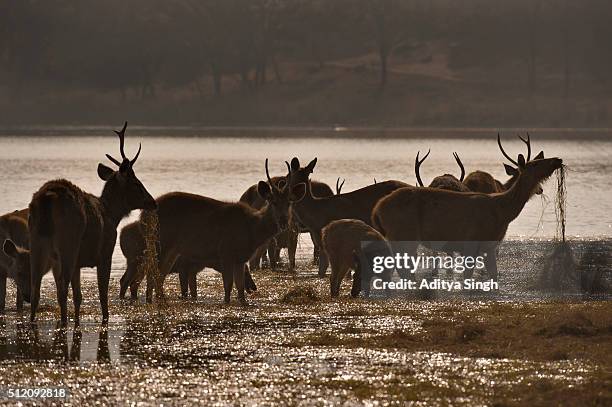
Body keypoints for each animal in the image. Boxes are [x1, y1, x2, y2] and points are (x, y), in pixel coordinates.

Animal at [11, 121, 155, 326]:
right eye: (136, 183)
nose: (153, 202)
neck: (111, 214)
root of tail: (48, 197)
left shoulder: (79, 262)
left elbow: (78, 296)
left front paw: (78, 321)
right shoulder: (105, 252)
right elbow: (102, 294)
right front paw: (104, 319)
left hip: (37, 241)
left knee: (36, 288)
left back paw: (34, 323)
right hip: (68, 242)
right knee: (61, 289)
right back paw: (63, 323)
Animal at [128, 161, 302, 304]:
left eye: (289, 202)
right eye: (273, 202)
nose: (283, 221)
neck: (252, 230)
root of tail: (144, 215)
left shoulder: (240, 259)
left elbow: (240, 291)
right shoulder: (225, 252)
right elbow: (228, 287)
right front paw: (226, 302)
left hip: (171, 249)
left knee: (159, 275)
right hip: (161, 242)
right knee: (152, 274)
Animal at [370, 137, 560, 280]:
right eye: (535, 164)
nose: (558, 160)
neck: (501, 212)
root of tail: (377, 209)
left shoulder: (488, 246)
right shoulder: (472, 241)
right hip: (402, 234)